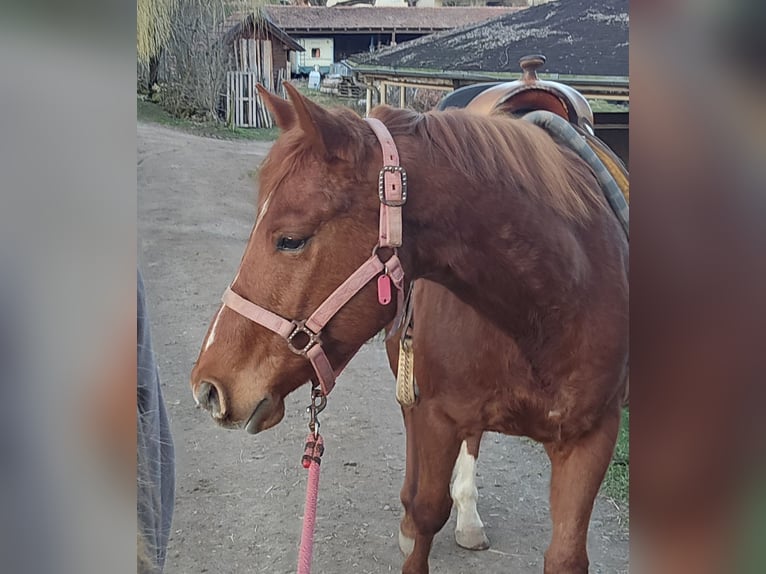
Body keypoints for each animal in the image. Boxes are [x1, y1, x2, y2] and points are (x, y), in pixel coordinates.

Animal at [190, 84, 629, 574]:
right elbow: (425, 512)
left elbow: (567, 553)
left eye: (291, 239)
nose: (208, 387)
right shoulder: (434, 414)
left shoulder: (591, 437)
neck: (548, 307)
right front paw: (413, 526)